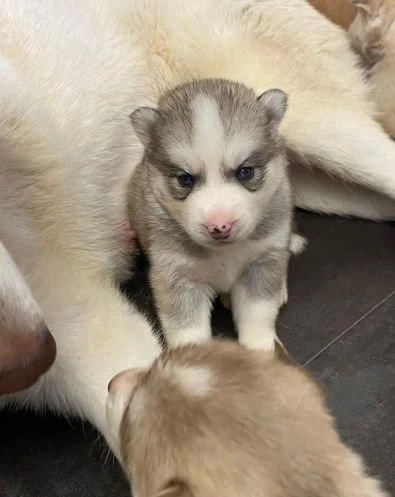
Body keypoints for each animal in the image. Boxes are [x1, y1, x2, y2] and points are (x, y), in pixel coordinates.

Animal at [127, 78, 294, 348]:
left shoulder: (260, 263)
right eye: (185, 179)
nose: (220, 226)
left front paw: (260, 347)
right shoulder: (178, 278)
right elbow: (188, 329)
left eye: (245, 171)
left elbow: (257, 313)